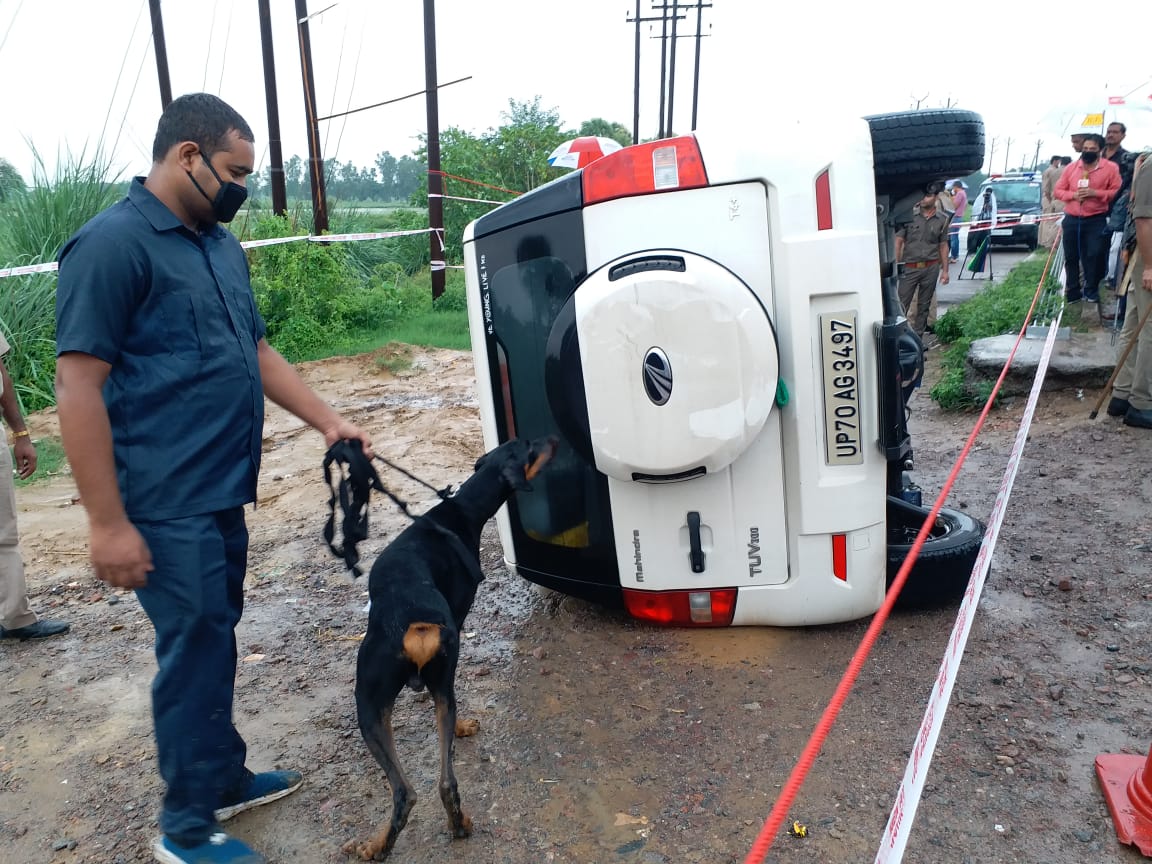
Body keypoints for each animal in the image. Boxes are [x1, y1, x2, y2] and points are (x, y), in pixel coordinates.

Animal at [340, 435, 557, 861]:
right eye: (530, 445)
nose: (554, 439)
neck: (463, 510)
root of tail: (416, 621)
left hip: (372, 704)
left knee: (419, 787)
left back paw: (389, 842)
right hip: (391, 696)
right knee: (429, 779)